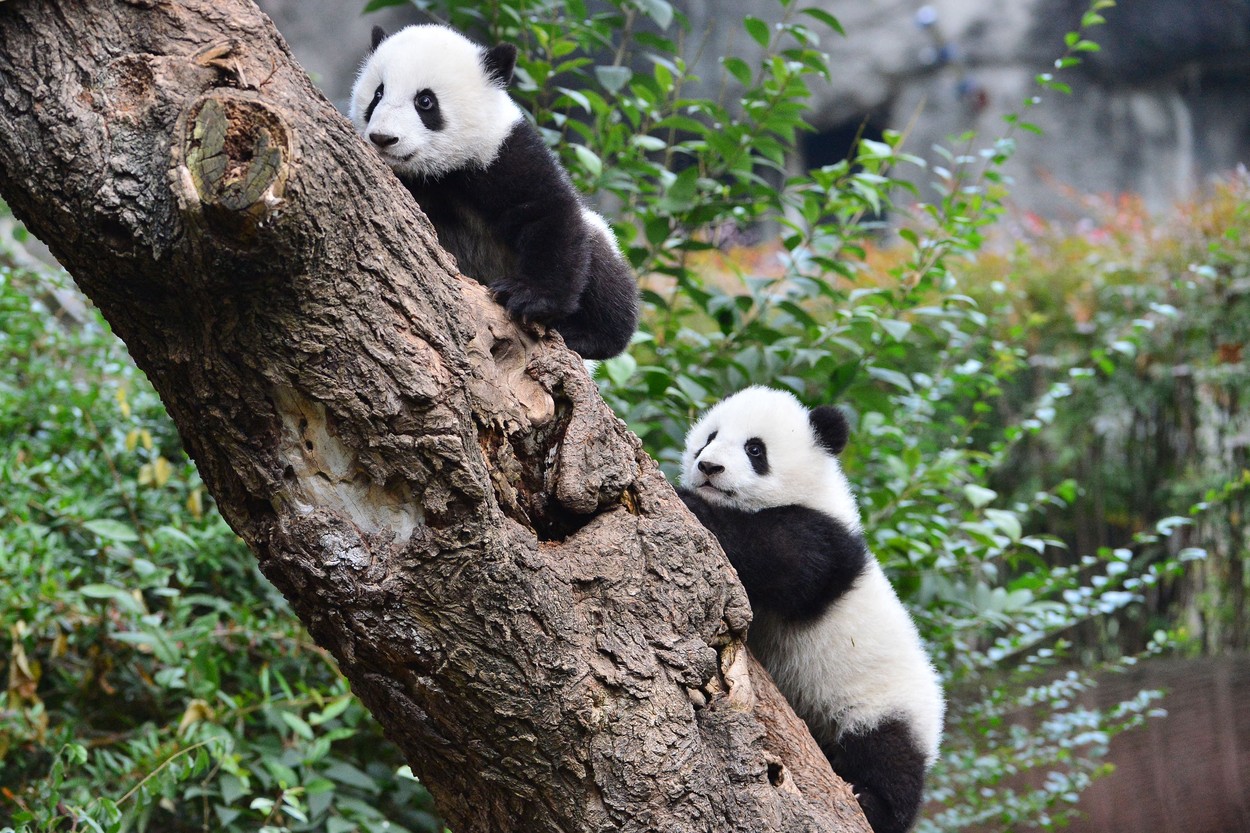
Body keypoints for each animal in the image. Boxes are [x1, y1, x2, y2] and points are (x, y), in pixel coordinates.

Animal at [349, 24, 639, 360]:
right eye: (377, 94)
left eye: (425, 102)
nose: (383, 138)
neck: (437, 174)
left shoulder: (503, 154)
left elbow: (547, 213)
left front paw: (528, 298)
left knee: (606, 273)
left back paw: (585, 333)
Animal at [676, 386, 945, 833]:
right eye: (709, 437)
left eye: (755, 449)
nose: (709, 466)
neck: (809, 491)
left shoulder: (825, 542)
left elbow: (780, 557)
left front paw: (692, 503)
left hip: (886, 704)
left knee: (889, 755)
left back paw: (872, 802)